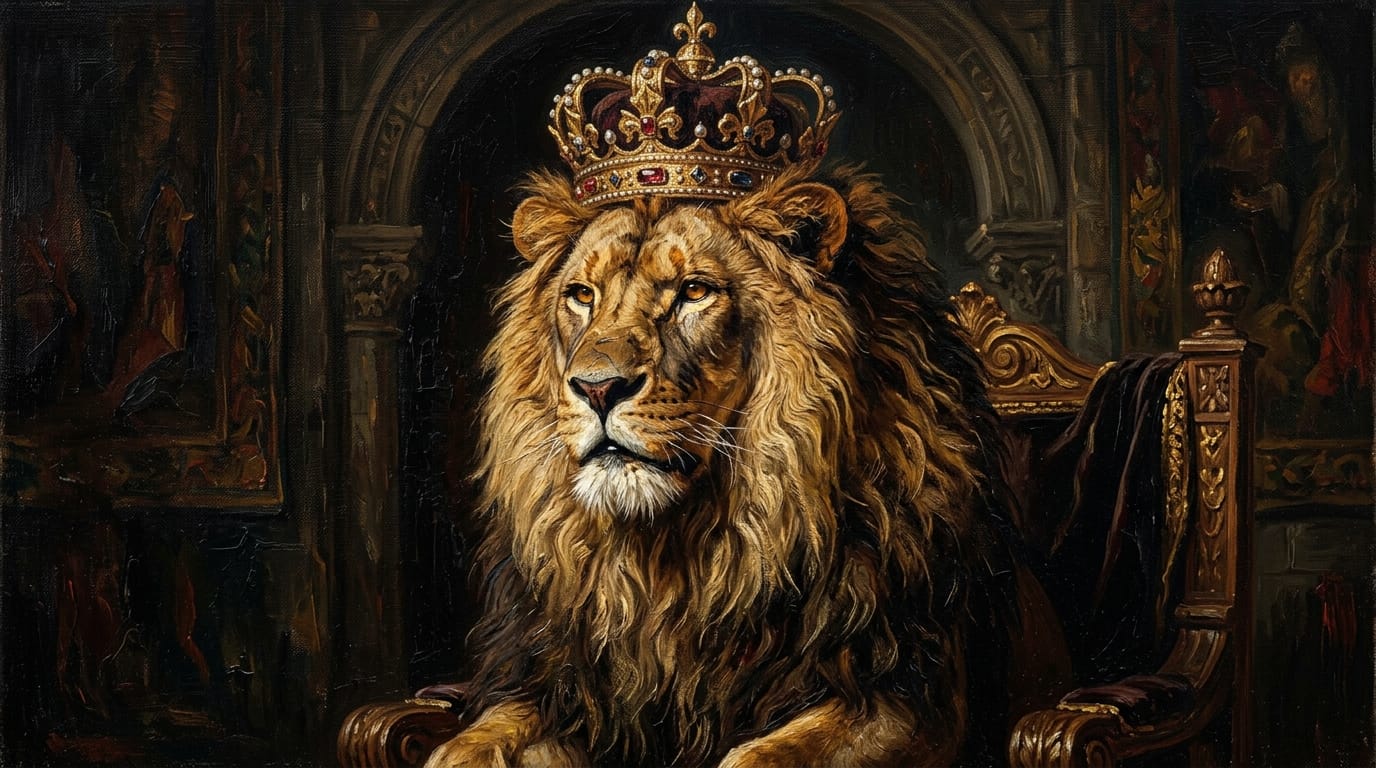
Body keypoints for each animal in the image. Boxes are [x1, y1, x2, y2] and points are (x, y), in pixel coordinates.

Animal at [423, 163, 1050, 768]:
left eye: (694, 291)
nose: (598, 388)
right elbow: (465, 747)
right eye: (581, 295)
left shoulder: (912, 700)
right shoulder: (558, 692)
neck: (676, 560)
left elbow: (763, 757)